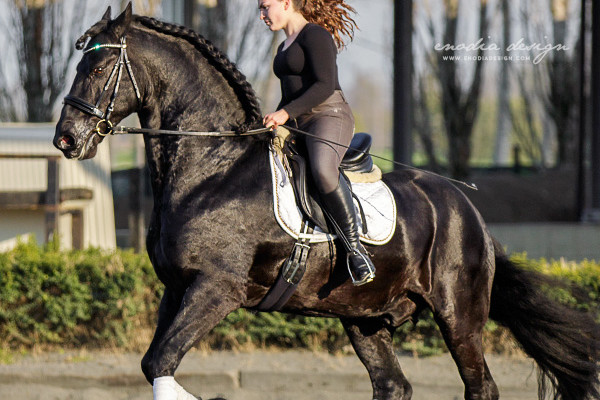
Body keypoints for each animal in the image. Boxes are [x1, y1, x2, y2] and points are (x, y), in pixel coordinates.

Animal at [54, 5, 596, 400]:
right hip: (366, 317)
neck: (210, 166)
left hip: (458, 316)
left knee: (479, 386)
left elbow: (162, 363)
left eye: (98, 67)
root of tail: (470, 211)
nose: (66, 140)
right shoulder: (177, 288)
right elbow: (153, 365)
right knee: (394, 386)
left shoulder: (216, 289)